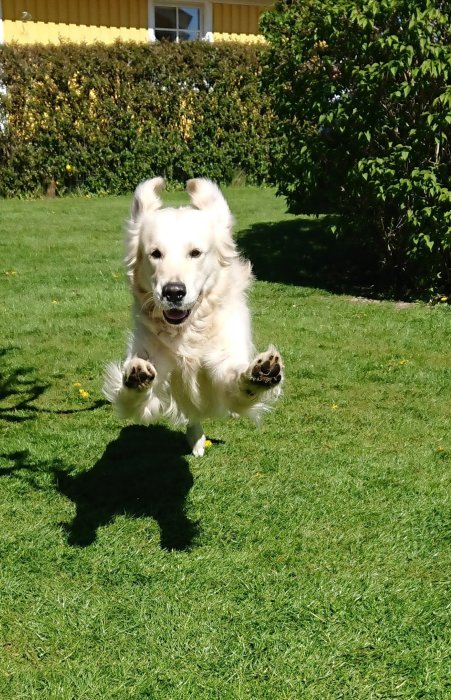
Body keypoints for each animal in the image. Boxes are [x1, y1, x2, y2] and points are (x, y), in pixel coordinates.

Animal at [104, 178, 284, 456]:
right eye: (155, 253)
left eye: (196, 253)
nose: (173, 292)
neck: (187, 331)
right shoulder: (153, 387)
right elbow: (135, 395)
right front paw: (136, 376)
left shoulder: (222, 366)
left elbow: (238, 383)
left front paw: (261, 373)